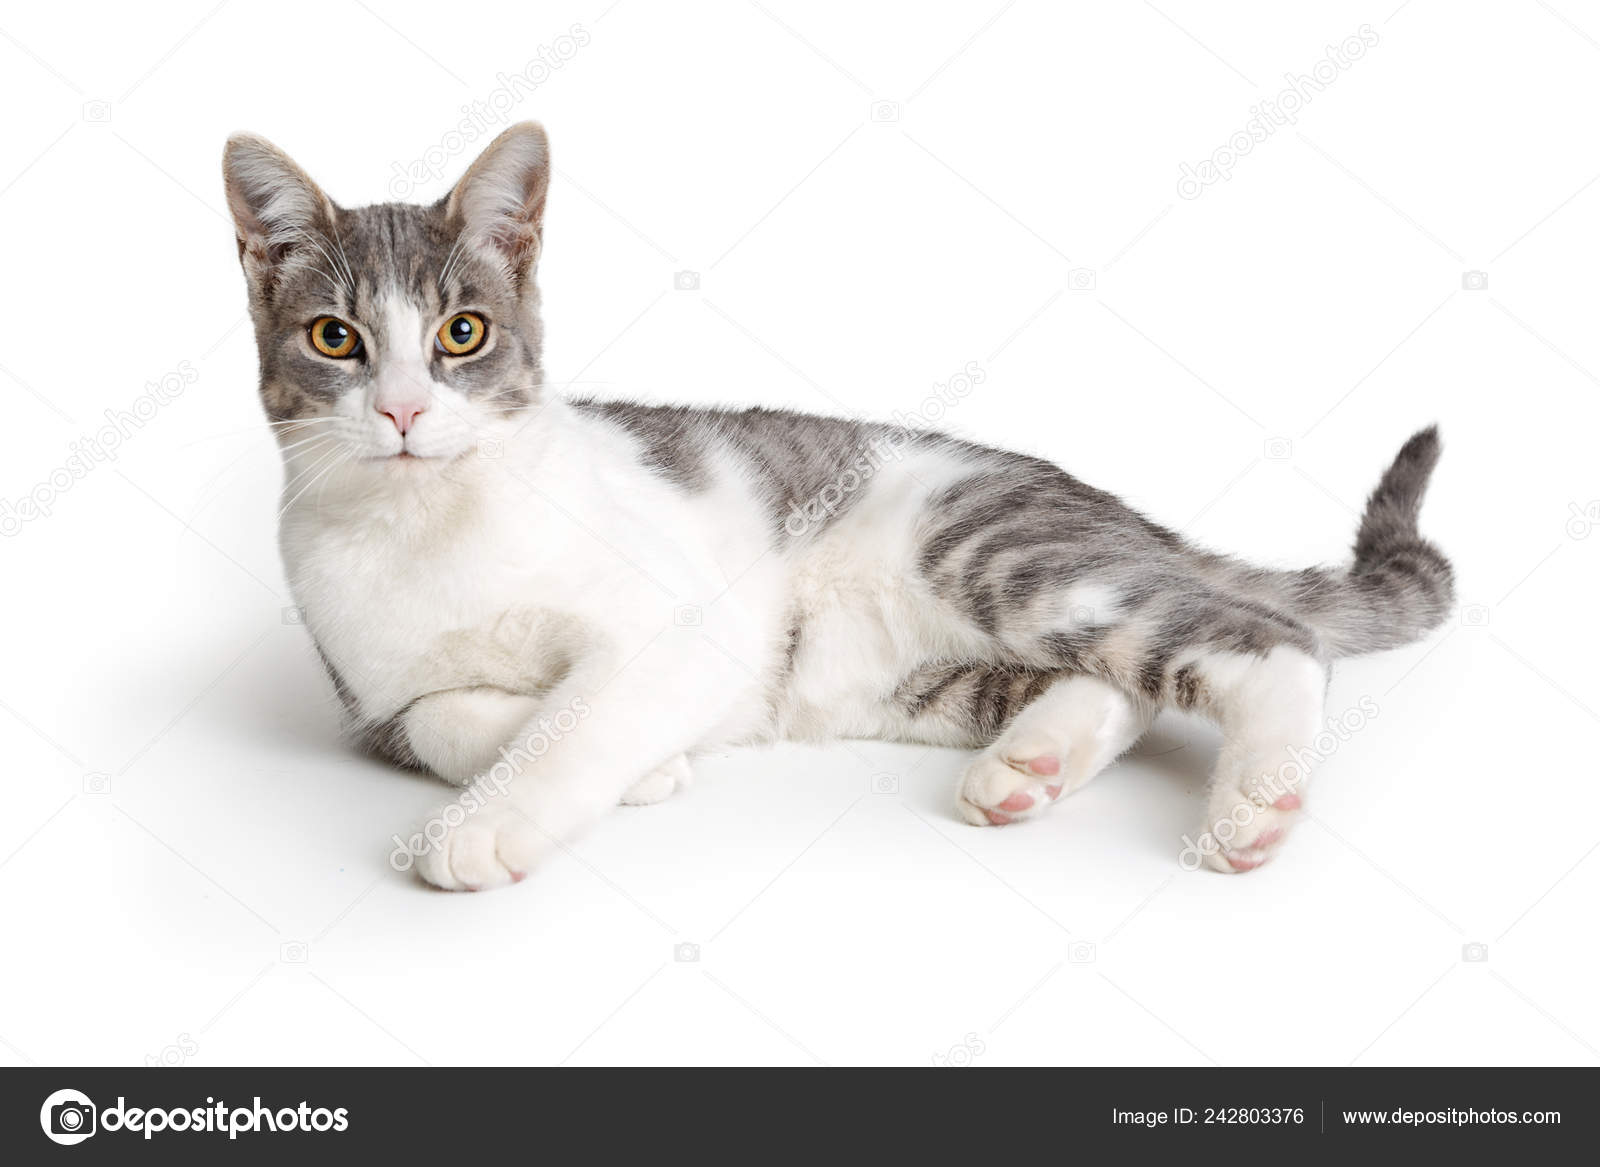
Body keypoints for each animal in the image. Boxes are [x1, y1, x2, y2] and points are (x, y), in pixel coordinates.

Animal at [219, 118, 1459, 890]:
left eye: (461, 333)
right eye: (336, 338)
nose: (401, 412)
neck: (434, 522)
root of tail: (1097, 500)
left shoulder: (682, 620)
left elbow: (583, 713)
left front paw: (484, 824)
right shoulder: (369, 694)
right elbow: (445, 716)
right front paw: (638, 763)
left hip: (995, 550)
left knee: (1266, 639)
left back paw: (1252, 801)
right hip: (901, 677)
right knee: (1121, 688)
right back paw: (1032, 765)